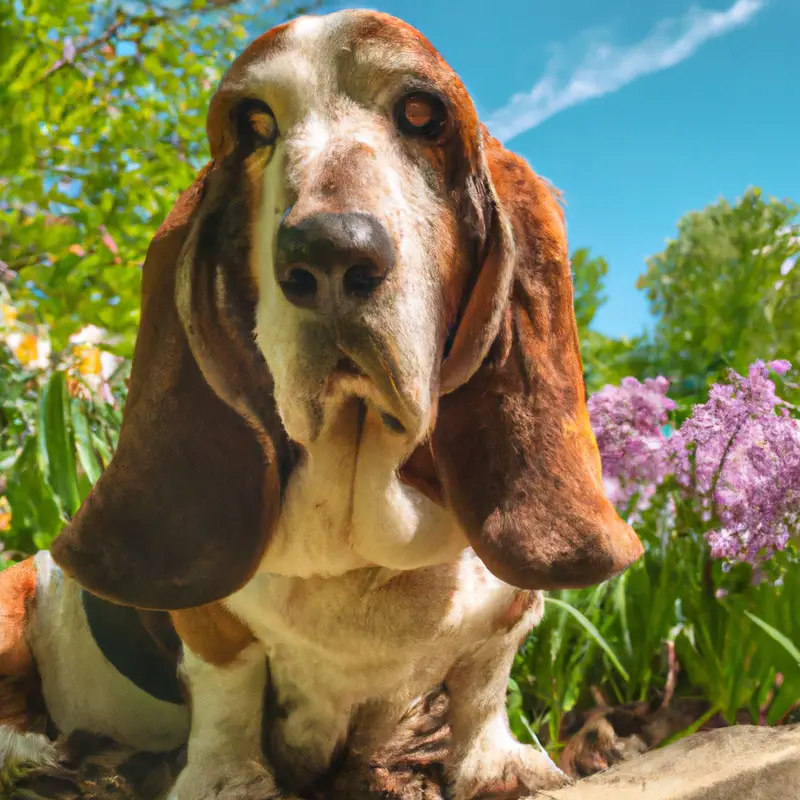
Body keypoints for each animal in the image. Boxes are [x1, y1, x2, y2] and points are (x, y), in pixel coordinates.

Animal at [0, 9, 644, 796]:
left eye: (423, 113)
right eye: (254, 125)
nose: (330, 252)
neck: (362, 550)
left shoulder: (506, 618)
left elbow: (483, 682)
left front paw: (497, 762)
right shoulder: (214, 634)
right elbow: (229, 688)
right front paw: (227, 779)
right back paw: (35, 753)